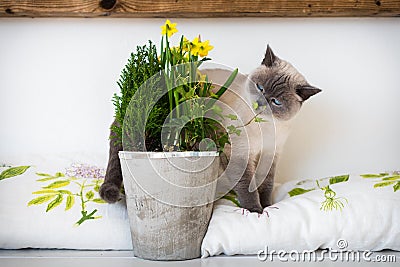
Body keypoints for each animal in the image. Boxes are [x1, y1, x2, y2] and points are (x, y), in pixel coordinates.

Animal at [101, 45, 322, 214]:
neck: (268, 126)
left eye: (276, 102)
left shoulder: (271, 154)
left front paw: (268, 206)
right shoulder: (239, 153)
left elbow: (266, 184)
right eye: (260, 88)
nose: (259, 103)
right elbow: (247, 186)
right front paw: (255, 210)